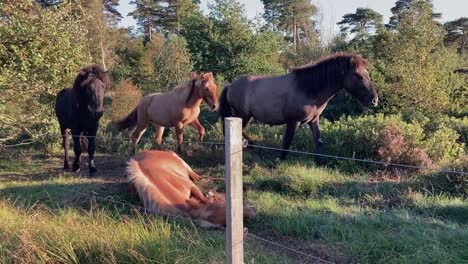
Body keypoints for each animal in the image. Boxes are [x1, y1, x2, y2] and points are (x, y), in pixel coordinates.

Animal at [220, 52, 380, 161]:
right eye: (358, 76)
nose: (374, 100)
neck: (308, 89)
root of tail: (230, 85)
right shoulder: (293, 121)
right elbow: (287, 142)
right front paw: (280, 160)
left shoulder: (314, 120)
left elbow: (319, 141)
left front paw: (320, 161)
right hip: (243, 115)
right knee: (238, 130)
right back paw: (251, 144)